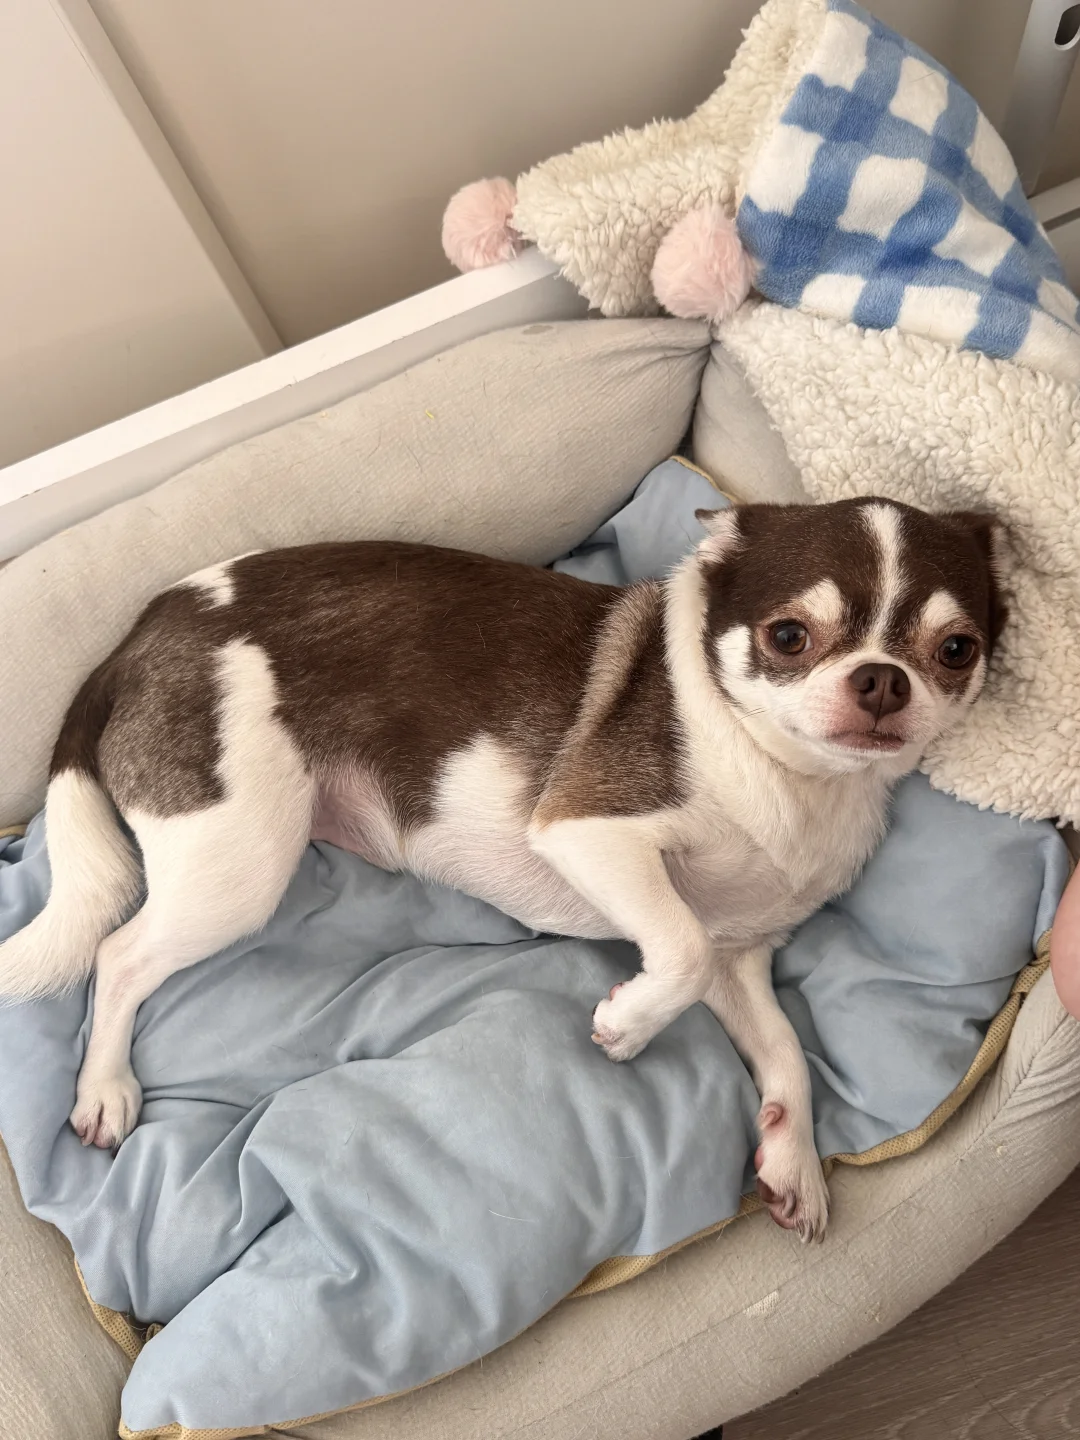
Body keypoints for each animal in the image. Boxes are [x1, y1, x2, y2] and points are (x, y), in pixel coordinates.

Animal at [0, 496, 1002, 1241]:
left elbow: (785, 1049)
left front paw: (791, 1161)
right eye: (789, 637)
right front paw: (626, 1027)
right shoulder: (589, 833)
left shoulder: (740, 958)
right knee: (118, 954)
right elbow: (673, 950)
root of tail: (136, 640)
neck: (792, 779)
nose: (881, 680)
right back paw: (104, 1089)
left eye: (957, 651)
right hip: (238, 865)